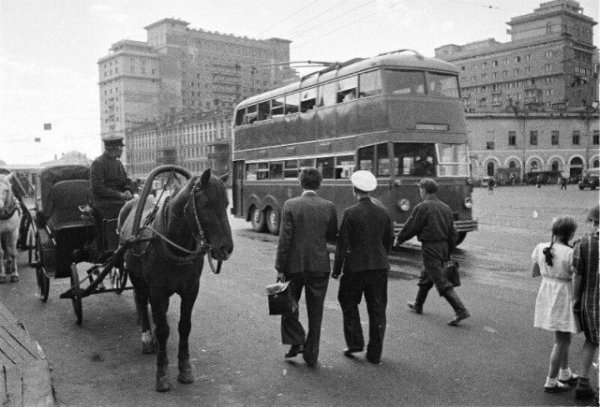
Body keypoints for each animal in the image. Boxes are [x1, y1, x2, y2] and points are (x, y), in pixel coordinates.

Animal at [119, 169, 234, 392]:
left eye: (226, 203)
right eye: (205, 204)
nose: (226, 248)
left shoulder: (191, 290)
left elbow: (184, 327)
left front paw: (185, 369)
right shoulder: (156, 290)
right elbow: (164, 330)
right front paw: (162, 375)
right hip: (137, 277)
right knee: (141, 300)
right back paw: (148, 338)